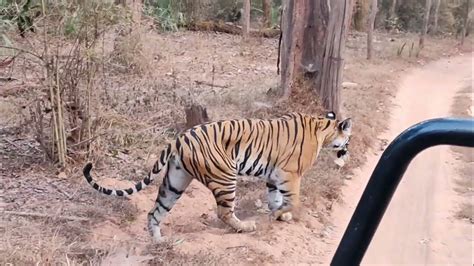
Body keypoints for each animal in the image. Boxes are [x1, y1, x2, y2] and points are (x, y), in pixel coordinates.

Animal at [82, 111, 352, 242]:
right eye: (348, 139)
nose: (347, 151)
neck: (322, 130)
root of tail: (178, 138)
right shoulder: (290, 173)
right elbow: (293, 200)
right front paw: (277, 216)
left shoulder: (274, 174)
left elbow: (276, 197)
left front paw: (279, 214)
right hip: (225, 177)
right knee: (223, 212)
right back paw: (245, 227)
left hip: (175, 183)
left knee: (154, 212)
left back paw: (158, 241)